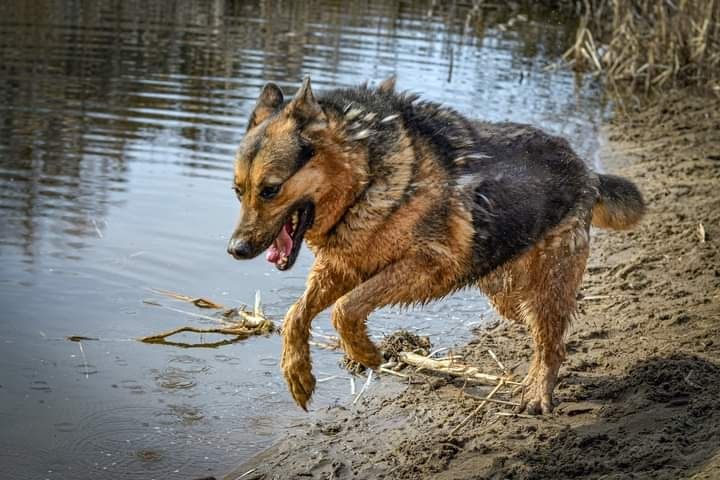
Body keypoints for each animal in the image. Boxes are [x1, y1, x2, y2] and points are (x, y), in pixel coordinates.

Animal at [228, 77, 644, 414]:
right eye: (237, 191)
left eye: (271, 190)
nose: (235, 250)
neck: (365, 177)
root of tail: (585, 168)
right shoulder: (344, 267)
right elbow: (295, 315)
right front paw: (298, 373)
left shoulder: (430, 265)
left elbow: (344, 310)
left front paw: (365, 351)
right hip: (506, 291)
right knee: (541, 330)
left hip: (544, 288)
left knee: (552, 342)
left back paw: (538, 394)